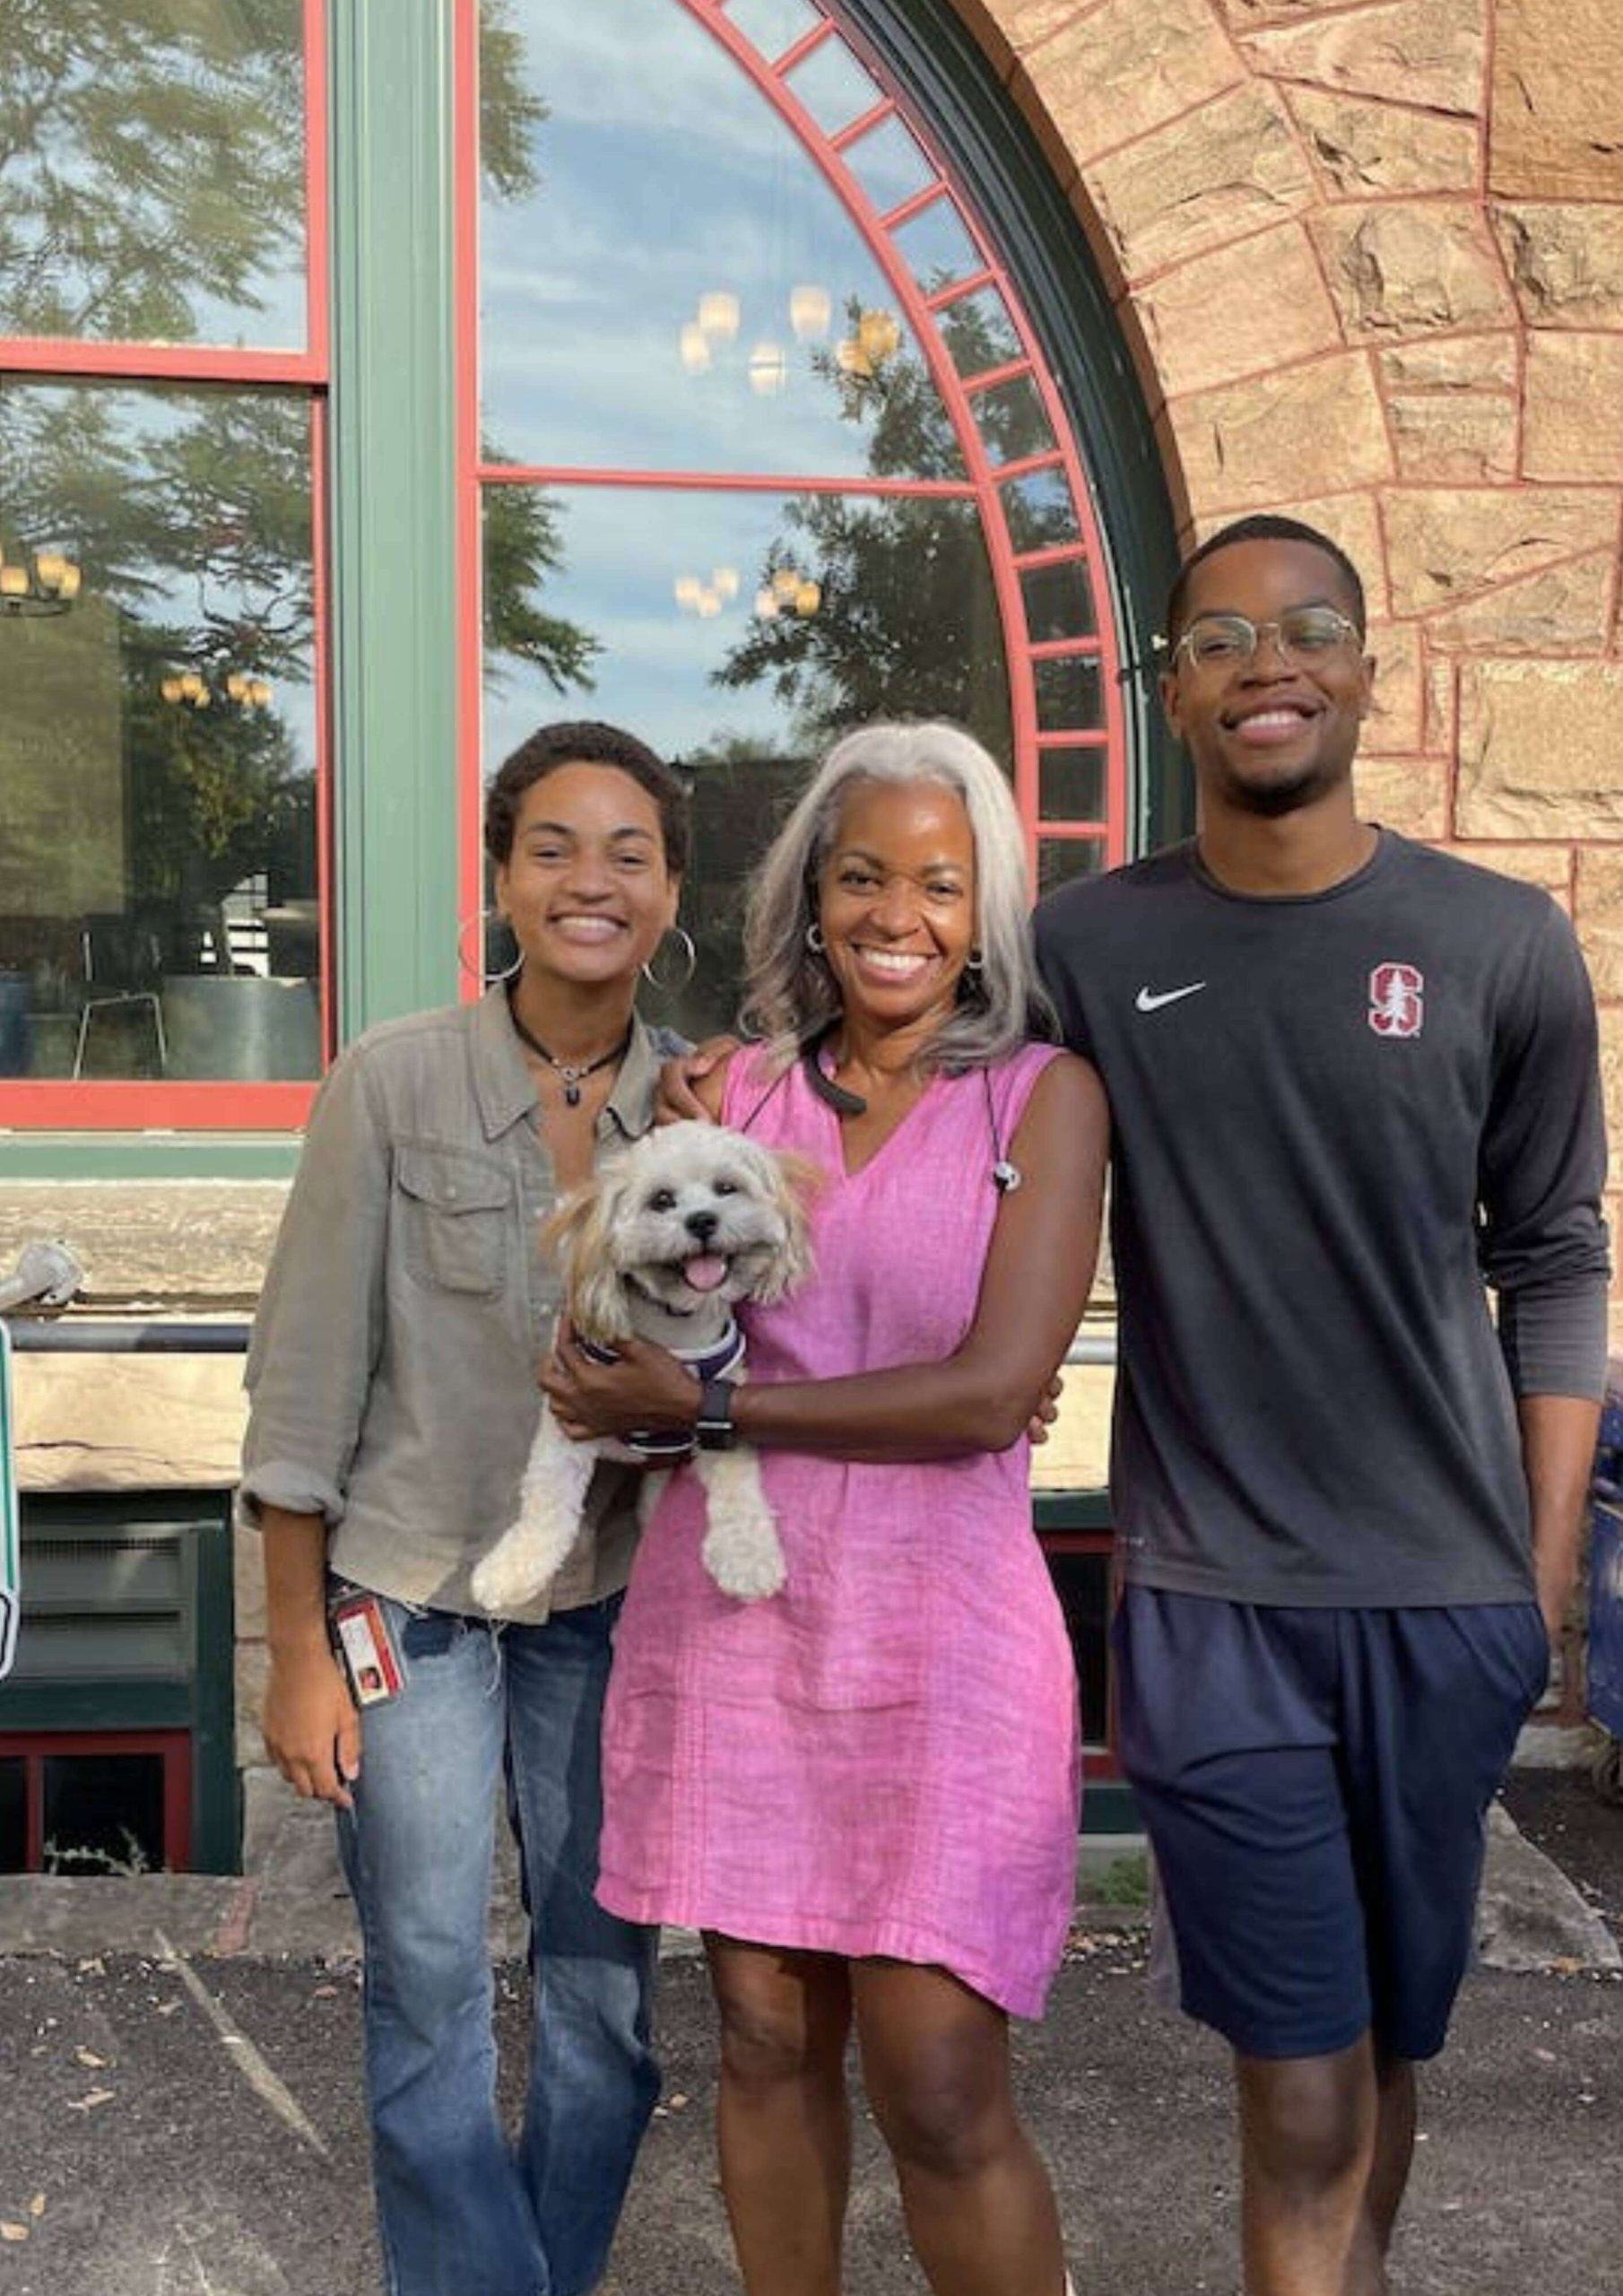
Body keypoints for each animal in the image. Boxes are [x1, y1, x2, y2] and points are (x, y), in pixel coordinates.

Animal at [474, 1120, 817, 1607]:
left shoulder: (717, 1418)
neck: (676, 1325)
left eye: (726, 1188)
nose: (702, 1220)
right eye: (661, 1200)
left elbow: (739, 1487)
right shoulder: (568, 1421)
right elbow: (547, 1502)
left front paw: (748, 1558)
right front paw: (511, 1570)